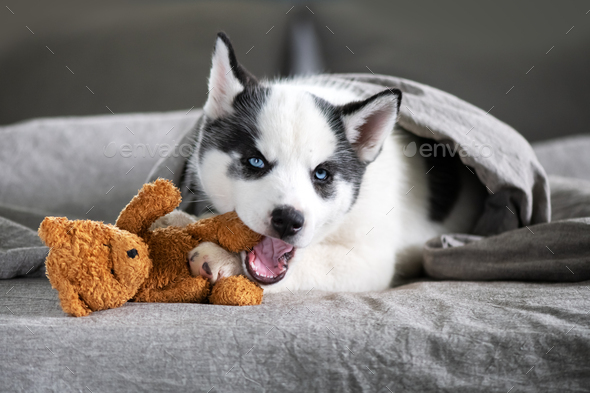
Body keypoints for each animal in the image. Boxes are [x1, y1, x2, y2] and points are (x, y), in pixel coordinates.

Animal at [171, 33, 486, 290]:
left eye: (321, 174)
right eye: (256, 162)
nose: (288, 221)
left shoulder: (370, 260)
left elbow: (315, 260)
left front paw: (222, 256)